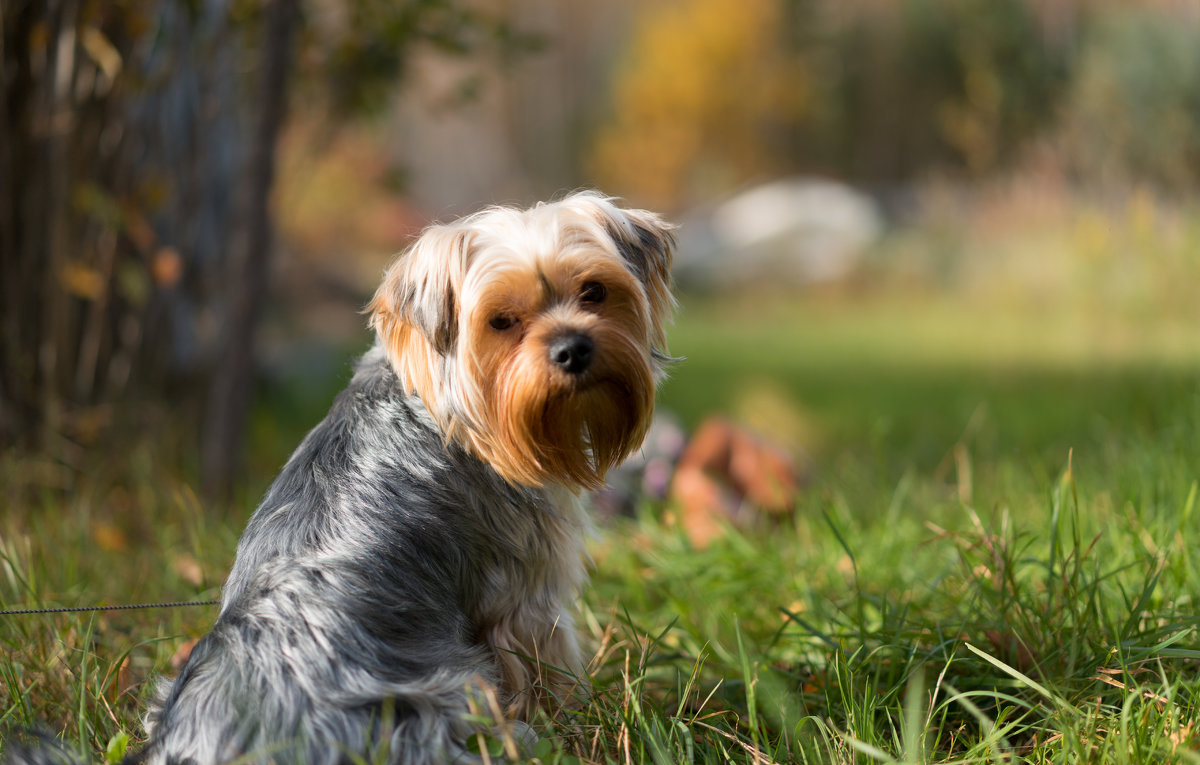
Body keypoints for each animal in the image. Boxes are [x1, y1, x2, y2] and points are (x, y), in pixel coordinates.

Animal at [135, 189, 676, 762]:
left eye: (595, 291)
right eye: (501, 321)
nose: (573, 349)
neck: (449, 411)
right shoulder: (524, 586)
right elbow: (545, 661)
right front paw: (574, 719)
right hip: (443, 702)